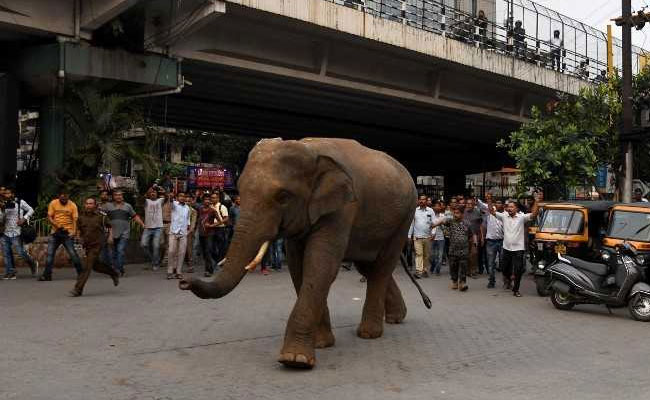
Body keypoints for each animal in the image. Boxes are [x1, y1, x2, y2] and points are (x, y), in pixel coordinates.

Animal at [180, 138, 417, 369]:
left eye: (283, 197)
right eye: (241, 190)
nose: (184, 281)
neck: (310, 148)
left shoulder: (343, 209)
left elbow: (321, 265)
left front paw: (295, 359)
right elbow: (298, 265)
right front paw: (321, 344)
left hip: (405, 217)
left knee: (382, 267)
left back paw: (369, 333)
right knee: (368, 266)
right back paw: (396, 317)